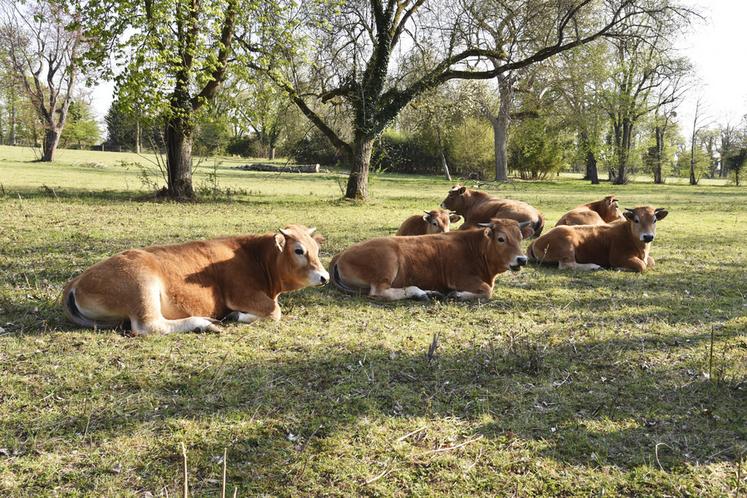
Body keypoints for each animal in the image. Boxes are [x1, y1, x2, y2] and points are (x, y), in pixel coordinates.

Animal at [62, 225, 332, 334]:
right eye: (298, 250)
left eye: (316, 250)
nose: (325, 277)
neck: (254, 256)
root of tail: (75, 282)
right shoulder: (241, 293)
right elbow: (275, 311)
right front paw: (237, 316)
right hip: (141, 286)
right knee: (148, 326)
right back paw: (203, 323)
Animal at [330, 220, 536, 302]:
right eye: (501, 239)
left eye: (520, 238)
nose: (522, 259)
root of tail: (341, 254)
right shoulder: (460, 278)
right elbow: (487, 291)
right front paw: (457, 295)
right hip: (388, 262)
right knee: (379, 292)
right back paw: (419, 293)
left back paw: (428, 292)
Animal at [528, 208, 668, 274]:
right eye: (636, 220)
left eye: (654, 220)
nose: (648, 236)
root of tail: (536, 241)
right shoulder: (618, 257)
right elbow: (642, 265)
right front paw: (619, 268)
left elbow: (651, 261)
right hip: (567, 246)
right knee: (566, 265)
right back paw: (593, 266)